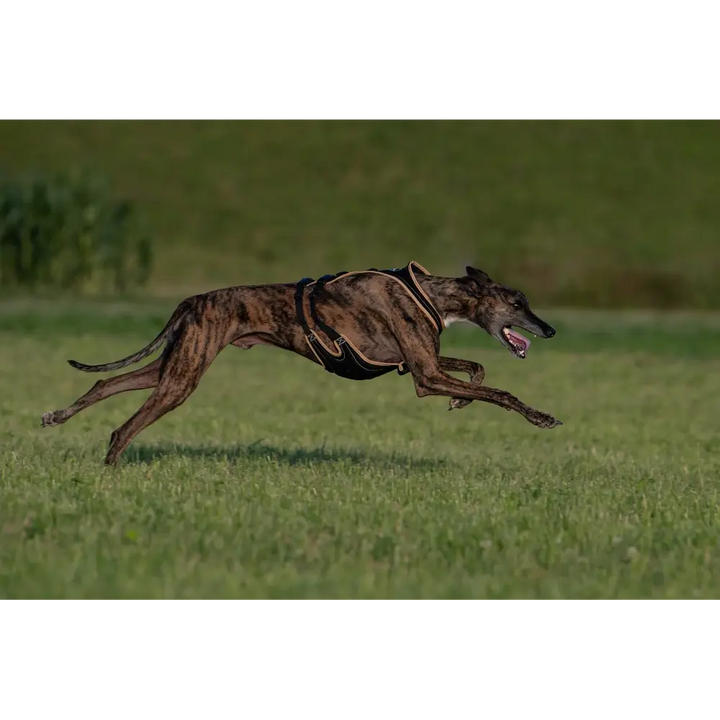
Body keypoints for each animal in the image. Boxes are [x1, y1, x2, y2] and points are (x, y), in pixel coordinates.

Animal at [40, 266, 564, 466]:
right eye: (517, 303)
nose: (551, 330)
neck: (434, 294)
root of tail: (193, 300)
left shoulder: (421, 363)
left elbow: (477, 369)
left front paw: (461, 401)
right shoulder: (425, 376)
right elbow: (502, 393)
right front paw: (541, 417)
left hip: (173, 365)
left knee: (106, 383)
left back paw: (56, 416)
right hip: (182, 378)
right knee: (125, 426)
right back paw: (110, 467)